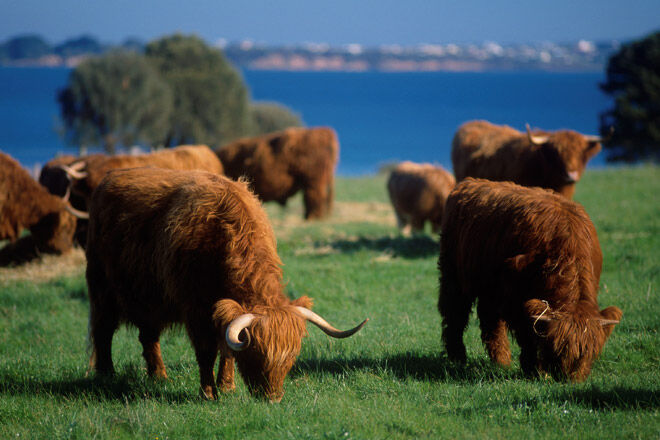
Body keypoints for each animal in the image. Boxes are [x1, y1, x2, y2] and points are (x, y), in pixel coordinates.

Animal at [85, 168, 366, 402]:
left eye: (292, 356)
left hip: (149, 300)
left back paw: (159, 377)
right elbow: (207, 351)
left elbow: (227, 349)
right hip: (102, 289)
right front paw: (208, 392)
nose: (273, 398)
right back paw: (106, 374)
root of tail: (109, 178)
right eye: (256, 354)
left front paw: (227, 387)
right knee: (103, 330)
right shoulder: (196, 310)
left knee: (148, 336)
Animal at [440, 179, 620, 382]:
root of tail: (469, 183)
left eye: (588, 353)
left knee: (489, 319)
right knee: (455, 313)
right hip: (453, 275)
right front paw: (535, 368)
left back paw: (501, 361)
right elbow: (527, 334)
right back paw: (457, 357)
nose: (568, 377)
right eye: (558, 349)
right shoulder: (514, 297)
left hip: (489, 288)